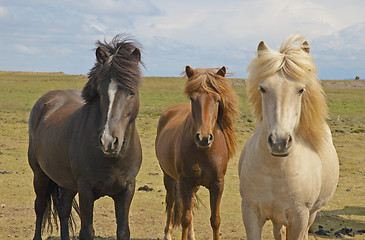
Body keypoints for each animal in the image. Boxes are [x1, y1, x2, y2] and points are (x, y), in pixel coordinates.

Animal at [27, 35, 142, 240]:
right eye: (101, 92)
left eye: (131, 92)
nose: (108, 142)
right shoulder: (86, 190)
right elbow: (87, 231)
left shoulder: (127, 190)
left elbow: (123, 231)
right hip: (39, 174)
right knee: (40, 207)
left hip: (67, 183)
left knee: (63, 209)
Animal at [154, 66, 239, 240]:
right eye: (193, 99)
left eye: (217, 100)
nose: (204, 138)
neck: (205, 151)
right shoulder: (186, 182)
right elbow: (185, 218)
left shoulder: (217, 184)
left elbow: (215, 220)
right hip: (169, 176)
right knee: (171, 201)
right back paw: (168, 234)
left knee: (191, 204)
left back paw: (191, 235)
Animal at [239, 33, 338, 240]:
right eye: (262, 88)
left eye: (301, 90)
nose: (279, 142)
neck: (275, 172)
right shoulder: (250, 214)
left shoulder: (299, 218)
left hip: (310, 214)